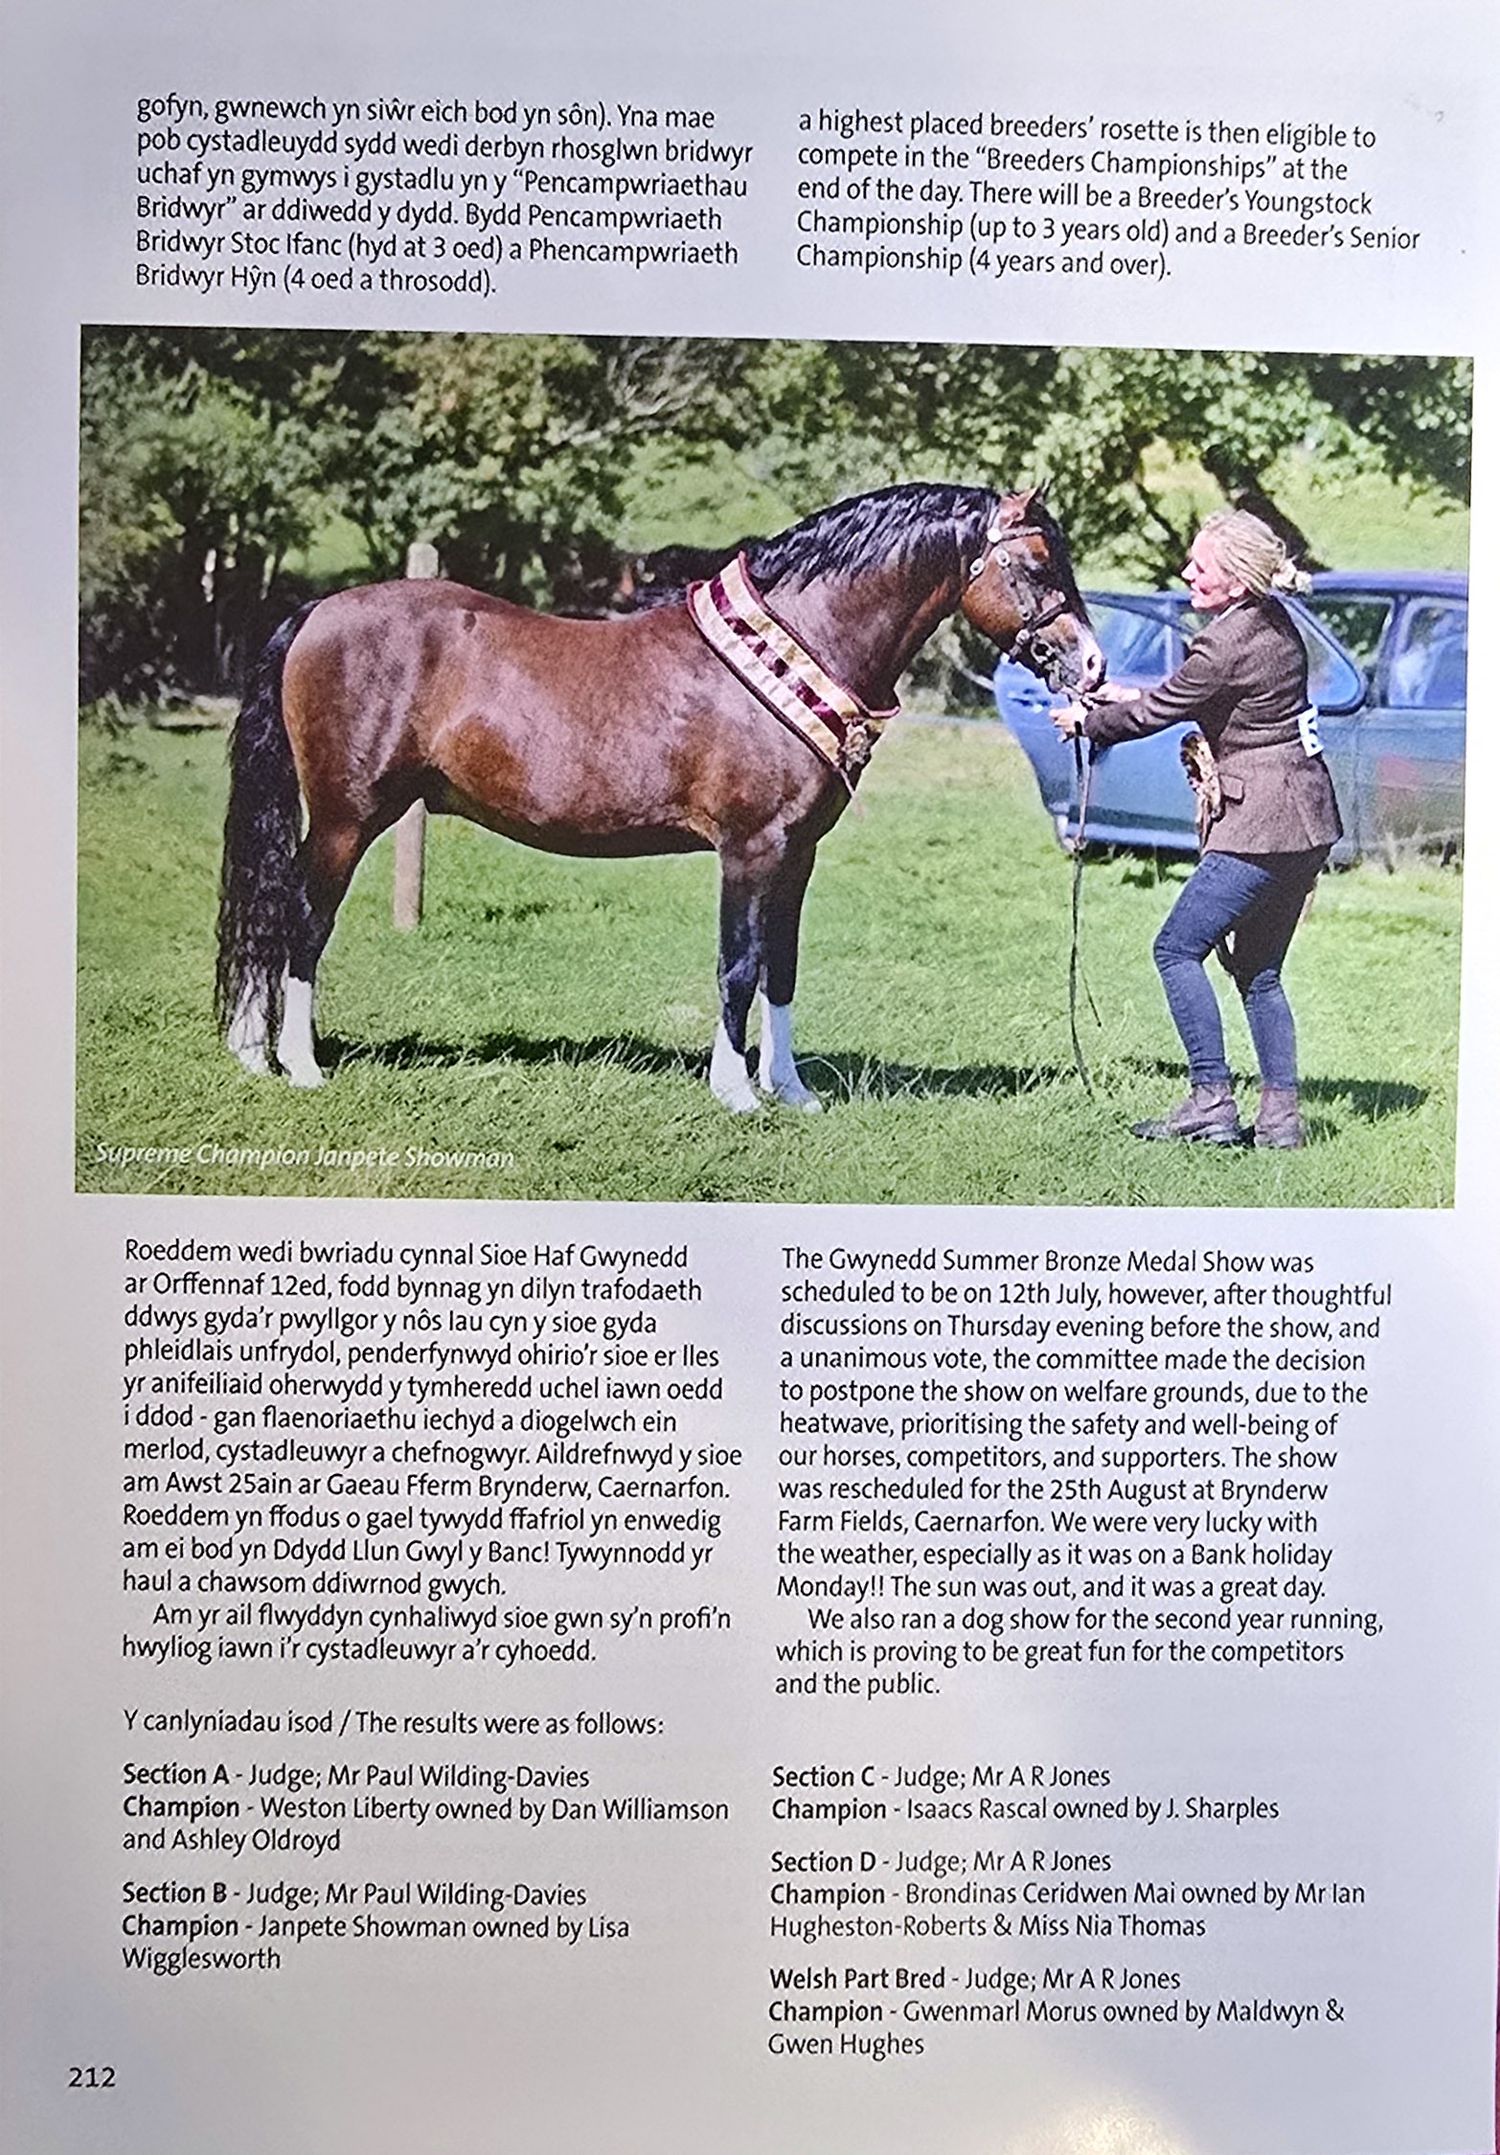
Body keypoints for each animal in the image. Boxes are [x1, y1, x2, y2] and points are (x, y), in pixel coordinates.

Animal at [216, 481, 1103, 1113]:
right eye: (1035, 565)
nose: (1091, 665)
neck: (796, 646)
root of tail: (313, 613)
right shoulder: (749, 847)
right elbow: (738, 964)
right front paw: (736, 1092)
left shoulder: (797, 855)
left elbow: (781, 966)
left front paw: (792, 1090)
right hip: (345, 819)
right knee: (300, 920)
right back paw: (299, 1065)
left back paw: (253, 1052)